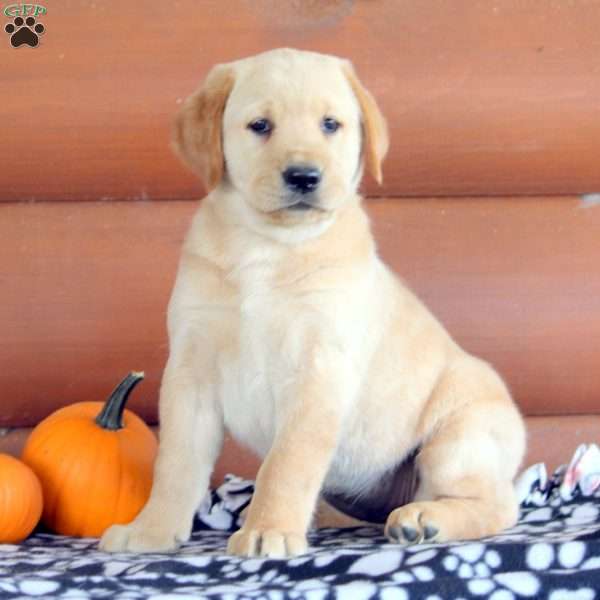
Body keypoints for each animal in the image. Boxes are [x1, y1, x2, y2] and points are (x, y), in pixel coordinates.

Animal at [98, 47, 524, 556]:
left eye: (330, 124)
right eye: (261, 125)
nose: (303, 176)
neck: (267, 247)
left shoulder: (319, 369)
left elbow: (287, 463)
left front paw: (267, 530)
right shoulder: (191, 372)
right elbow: (176, 462)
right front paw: (151, 530)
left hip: (459, 437)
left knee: (497, 505)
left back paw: (425, 519)